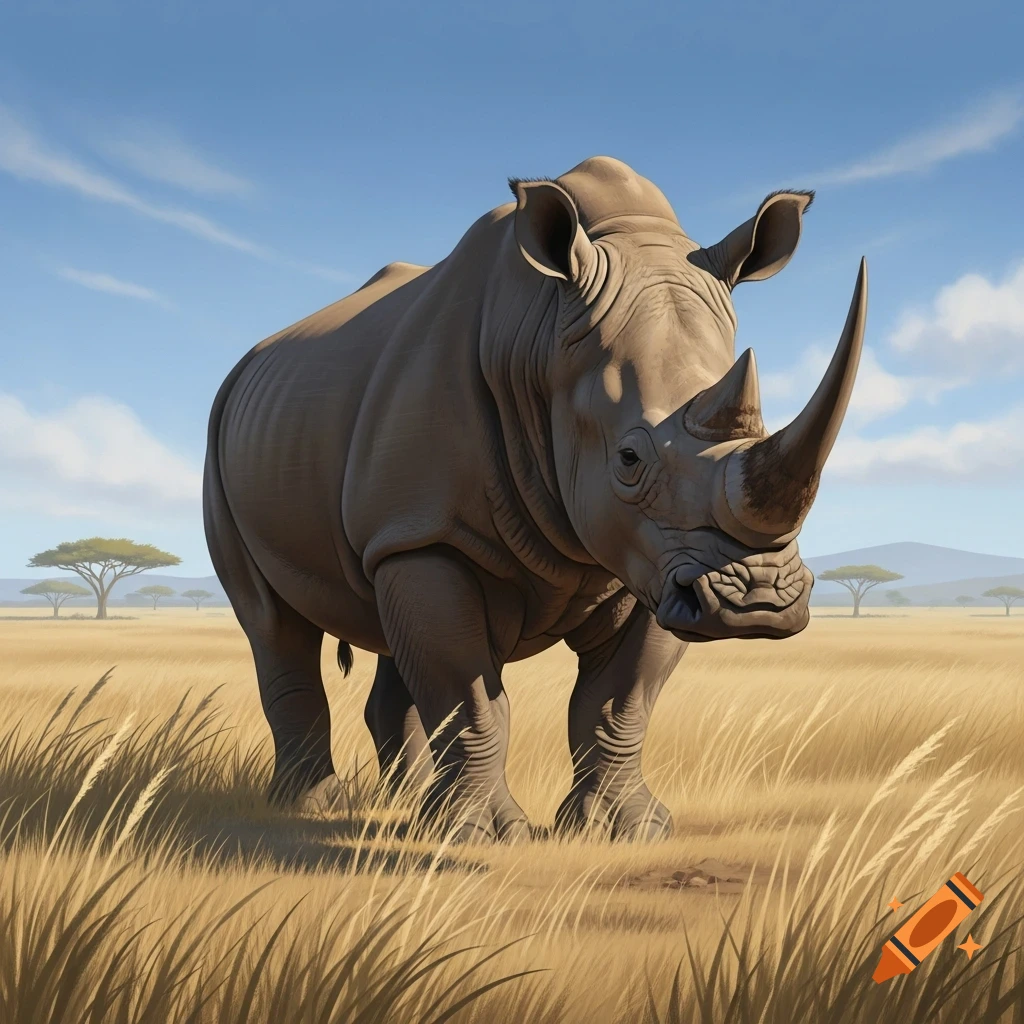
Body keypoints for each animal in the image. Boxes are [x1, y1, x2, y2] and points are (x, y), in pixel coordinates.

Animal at [204, 156, 866, 842]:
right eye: (628, 460)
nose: (759, 600)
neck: (542, 338)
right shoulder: (431, 531)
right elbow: (469, 699)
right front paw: (483, 835)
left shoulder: (652, 560)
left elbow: (619, 701)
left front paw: (627, 828)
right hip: (227, 434)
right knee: (274, 624)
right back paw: (312, 805)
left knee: (389, 629)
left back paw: (405, 804)